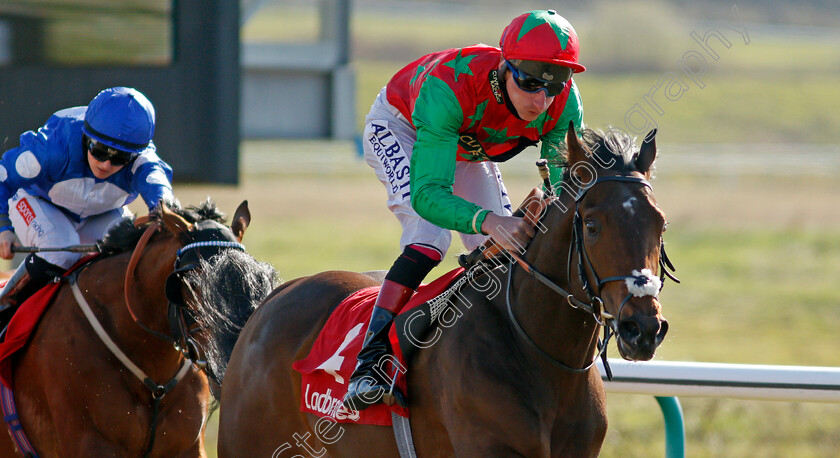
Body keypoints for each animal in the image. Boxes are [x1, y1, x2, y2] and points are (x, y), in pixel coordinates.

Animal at [220, 126, 672, 458]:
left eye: (661, 223)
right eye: (592, 225)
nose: (643, 329)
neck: (543, 356)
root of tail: (272, 300)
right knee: (425, 242)